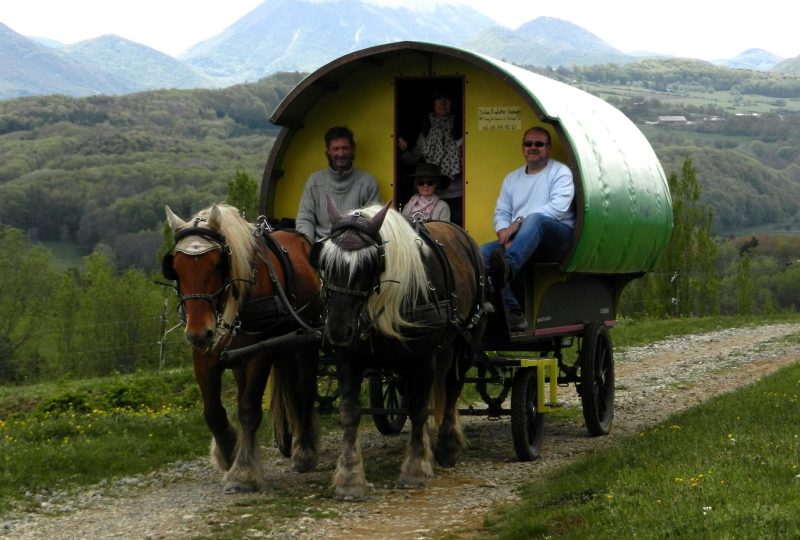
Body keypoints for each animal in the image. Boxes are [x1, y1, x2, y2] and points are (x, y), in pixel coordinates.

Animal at [162, 204, 322, 494]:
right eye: (176, 268)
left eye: (217, 265)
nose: (199, 333)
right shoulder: (205, 357)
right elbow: (213, 413)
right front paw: (227, 452)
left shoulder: (260, 353)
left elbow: (249, 410)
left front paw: (243, 472)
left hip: (307, 340)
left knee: (305, 391)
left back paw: (305, 449)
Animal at [310, 197, 488, 498]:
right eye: (325, 262)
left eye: (369, 265)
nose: (337, 329)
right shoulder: (348, 359)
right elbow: (350, 412)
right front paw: (349, 477)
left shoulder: (423, 359)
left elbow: (418, 408)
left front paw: (415, 468)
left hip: (466, 341)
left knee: (452, 388)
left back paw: (447, 445)